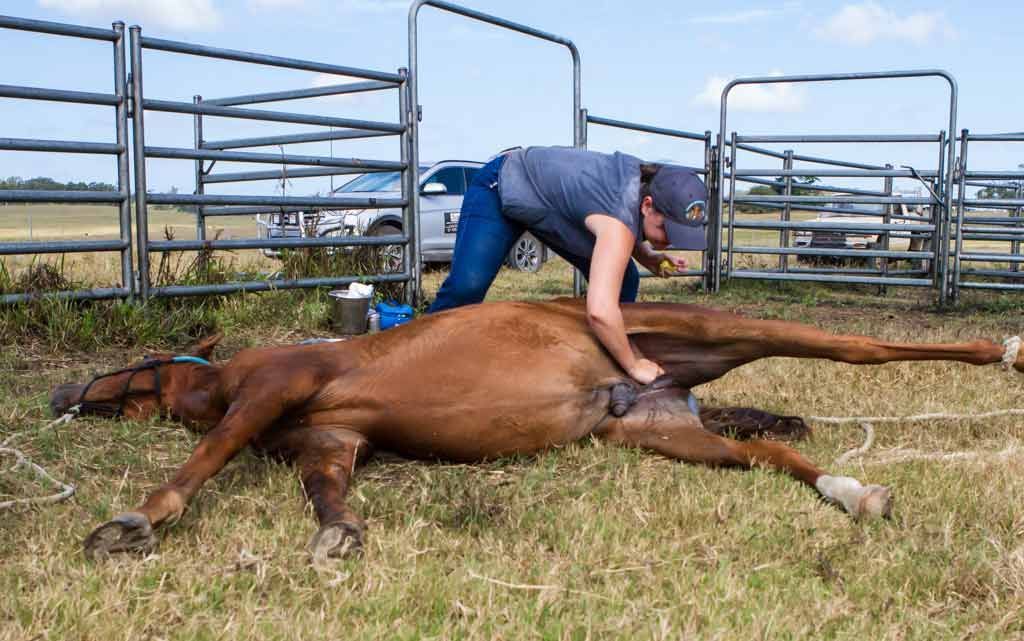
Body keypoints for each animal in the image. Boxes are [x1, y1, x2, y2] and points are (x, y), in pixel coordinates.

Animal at [49, 299, 1022, 560]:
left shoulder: (281, 383)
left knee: (856, 345)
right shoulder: (329, 444)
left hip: (720, 328)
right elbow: (326, 493)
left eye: (130, 365)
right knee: (770, 452)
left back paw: (1003, 348)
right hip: (665, 435)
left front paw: (137, 520)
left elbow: (206, 451)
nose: (64, 390)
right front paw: (340, 533)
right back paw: (855, 491)